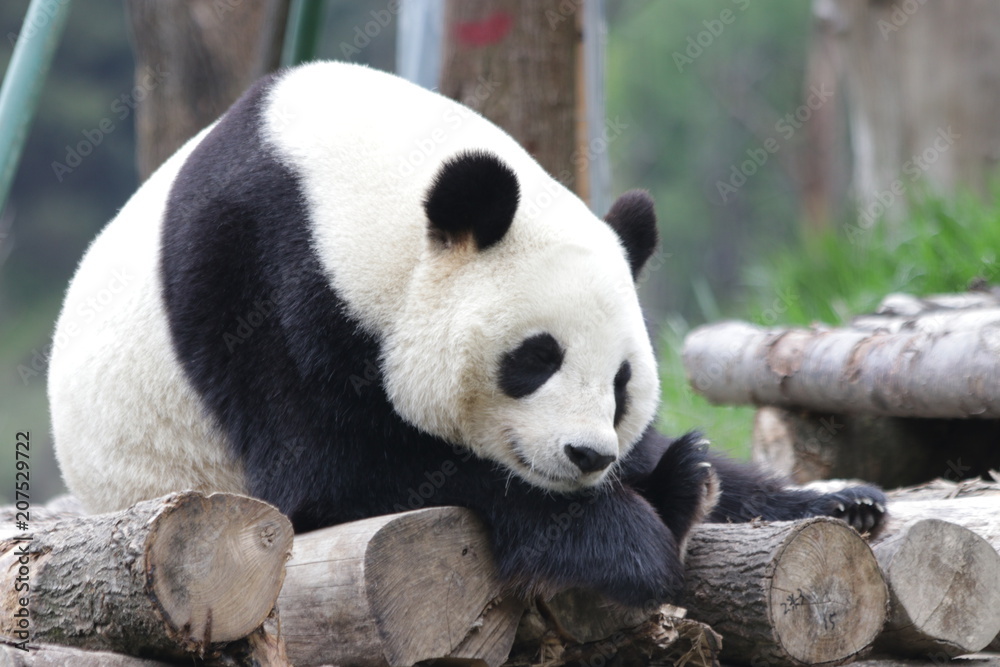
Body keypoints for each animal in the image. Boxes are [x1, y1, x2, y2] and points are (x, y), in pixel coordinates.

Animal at [48, 61, 885, 607]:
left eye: (621, 383)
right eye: (536, 357)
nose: (588, 455)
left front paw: (827, 497)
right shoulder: (262, 283)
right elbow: (336, 474)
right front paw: (628, 544)